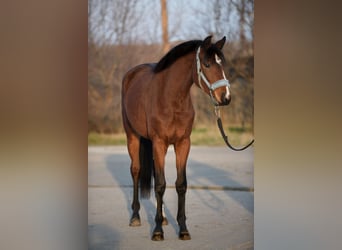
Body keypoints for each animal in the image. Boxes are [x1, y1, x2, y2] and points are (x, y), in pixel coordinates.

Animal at [121, 35, 231, 240]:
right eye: (207, 64)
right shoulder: (159, 142)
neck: (171, 99)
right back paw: (135, 216)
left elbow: (180, 184)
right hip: (132, 136)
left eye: (222, 63)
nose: (226, 97)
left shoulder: (183, 144)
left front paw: (183, 228)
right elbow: (160, 185)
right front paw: (157, 231)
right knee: (136, 171)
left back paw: (163, 217)